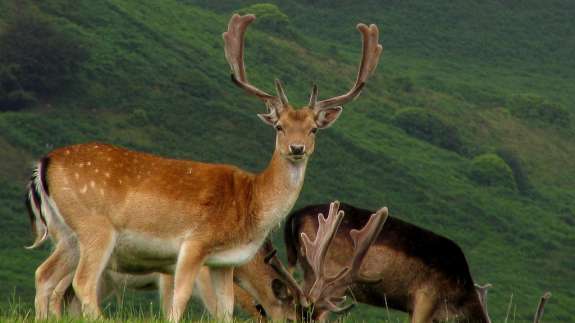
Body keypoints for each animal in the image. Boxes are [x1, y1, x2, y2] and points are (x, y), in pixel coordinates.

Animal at [24, 13, 382, 323]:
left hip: (67, 234)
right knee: (81, 283)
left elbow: (225, 311)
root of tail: (43, 164)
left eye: (313, 129)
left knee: (44, 275)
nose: (297, 148)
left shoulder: (224, 263)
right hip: (96, 228)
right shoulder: (193, 245)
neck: (250, 204)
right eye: (279, 126)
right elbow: (178, 301)